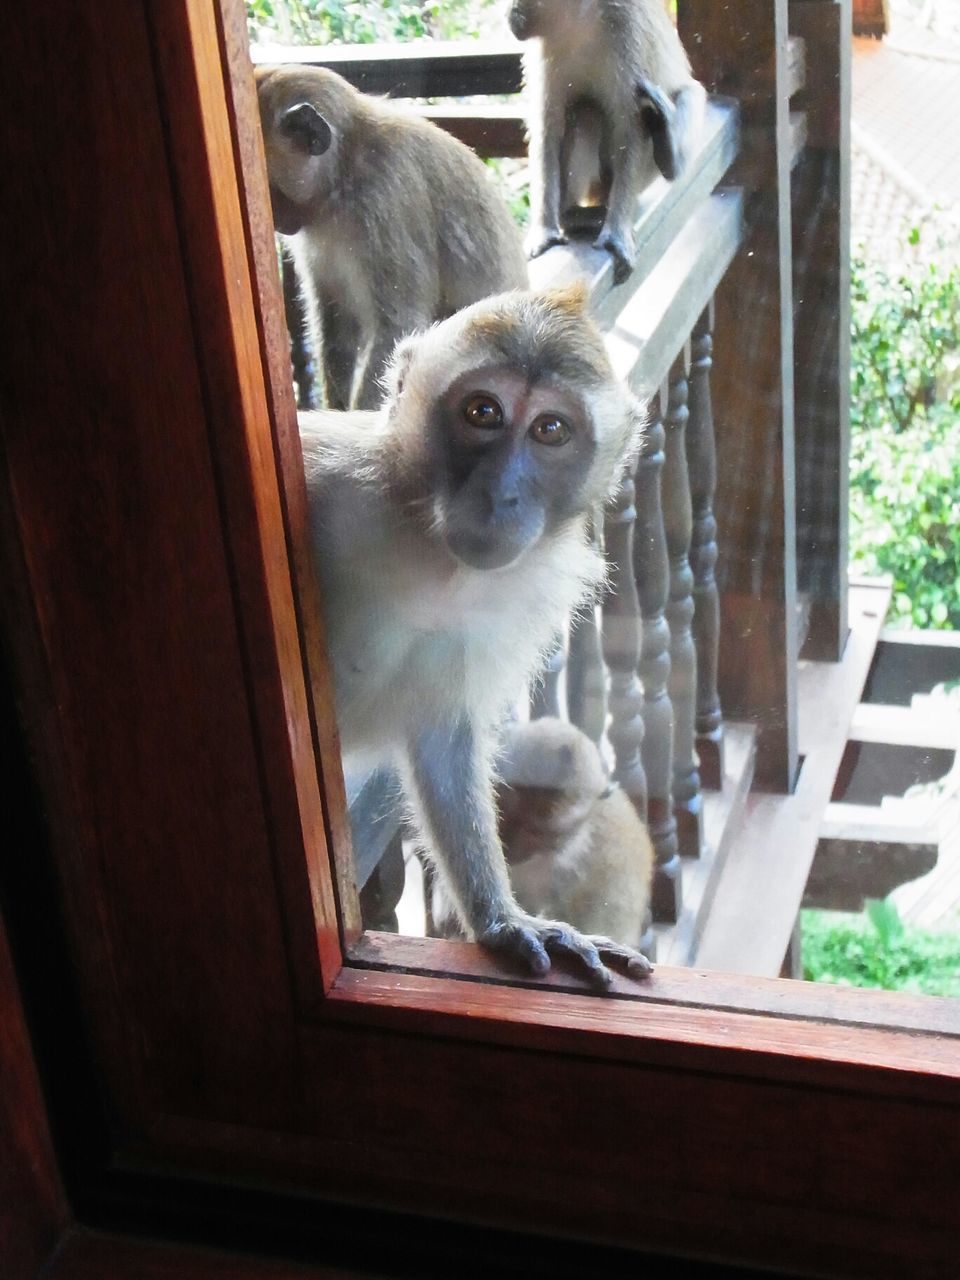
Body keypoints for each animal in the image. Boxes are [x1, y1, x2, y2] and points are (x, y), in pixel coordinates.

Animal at [256, 63, 527, 409]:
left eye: (269, 190)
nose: (274, 220)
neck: (343, 175)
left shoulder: (386, 201)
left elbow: (397, 325)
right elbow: (336, 323)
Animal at [512, 0, 706, 282]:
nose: (511, 13)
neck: (579, 15)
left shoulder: (626, 29)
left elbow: (630, 130)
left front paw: (616, 236)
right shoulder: (545, 46)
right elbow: (548, 128)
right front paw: (544, 231)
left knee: (691, 93)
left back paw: (669, 153)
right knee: (585, 112)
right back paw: (572, 214)